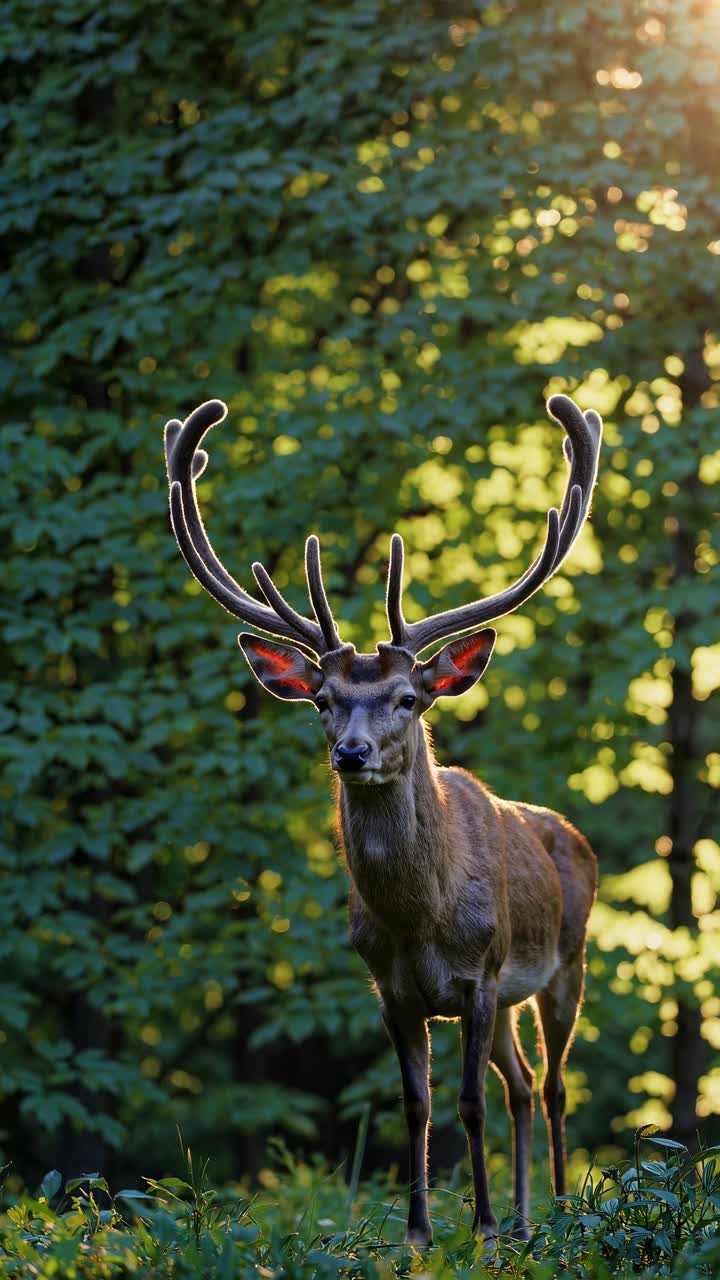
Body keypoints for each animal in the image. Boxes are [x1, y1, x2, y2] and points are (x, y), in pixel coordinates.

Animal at [164, 392, 601, 1246]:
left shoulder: (480, 973)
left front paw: (480, 1227)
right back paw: (528, 1219)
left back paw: (559, 1212)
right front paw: (422, 1232)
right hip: (510, 1000)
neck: (421, 918)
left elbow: (466, 1103)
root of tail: (569, 835)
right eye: (324, 701)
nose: (353, 753)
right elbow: (417, 1104)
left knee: (556, 1083)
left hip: (562, 963)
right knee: (523, 1083)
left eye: (407, 697)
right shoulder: (390, 988)